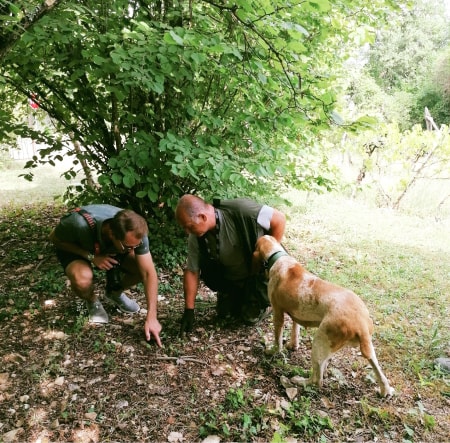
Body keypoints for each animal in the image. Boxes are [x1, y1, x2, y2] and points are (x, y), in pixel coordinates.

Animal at [253, 236, 394, 398]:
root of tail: (361, 324)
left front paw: (273, 351)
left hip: (318, 343)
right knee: (379, 373)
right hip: (368, 349)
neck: (278, 257)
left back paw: (299, 380)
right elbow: (295, 330)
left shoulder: (277, 312)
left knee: (316, 380)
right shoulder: (296, 314)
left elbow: (278, 341)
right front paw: (293, 345)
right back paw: (385, 390)